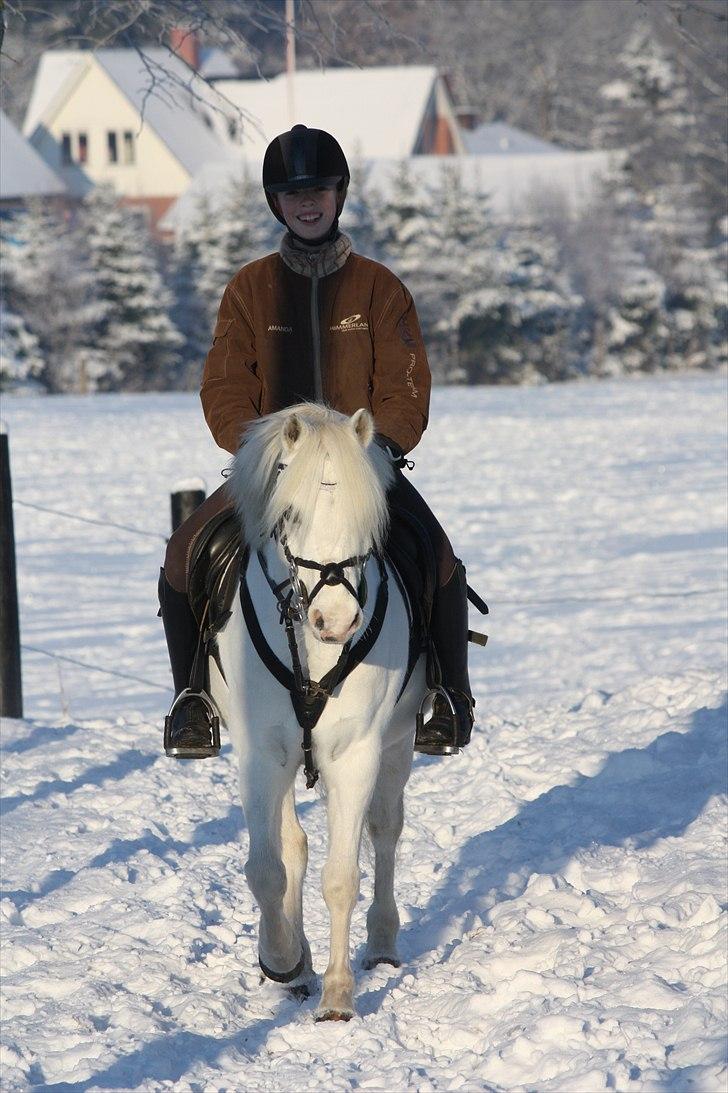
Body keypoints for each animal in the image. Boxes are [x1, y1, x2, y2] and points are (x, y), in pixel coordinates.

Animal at [209, 404, 421, 1023]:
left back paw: (381, 943)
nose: (337, 621)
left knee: (385, 830)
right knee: (293, 846)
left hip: (397, 745)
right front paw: (282, 959)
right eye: (291, 514)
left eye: (368, 518)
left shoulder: (355, 754)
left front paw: (338, 994)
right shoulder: (261, 754)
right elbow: (267, 867)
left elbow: (342, 877)